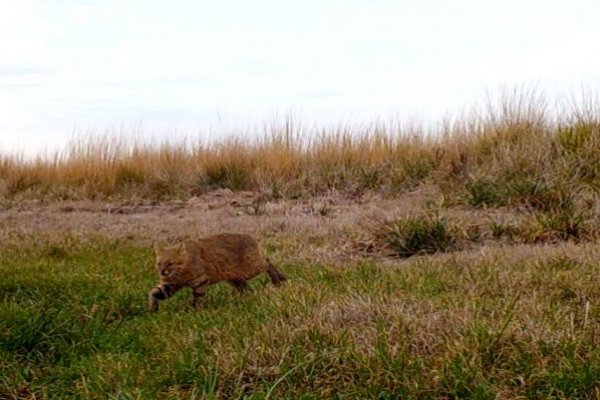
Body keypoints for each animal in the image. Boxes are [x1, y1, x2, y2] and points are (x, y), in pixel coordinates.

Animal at [146, 233, 284, 310]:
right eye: (159, 264)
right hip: (234, 278)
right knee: (246, 288)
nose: (162, 272)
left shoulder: (200, 281)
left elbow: (198, 297)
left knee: (266, 261)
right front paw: (153, 308)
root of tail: (250, 237)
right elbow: (153, 292)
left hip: (250, 269)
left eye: (170, 263)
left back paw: (277, 279)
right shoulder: (169, 286)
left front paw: (194, 310)